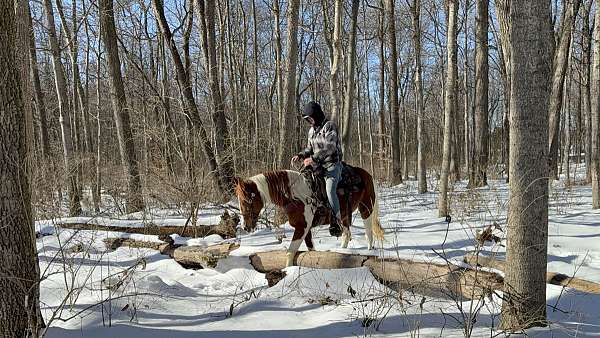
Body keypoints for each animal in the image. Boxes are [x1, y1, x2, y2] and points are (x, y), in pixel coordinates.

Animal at [234, 166, 384, 266]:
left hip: (366, 209)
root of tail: (367, 174)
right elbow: (311, 249)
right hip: (345, 215)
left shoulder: (302, 228)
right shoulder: (306, 229)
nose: (245, 227)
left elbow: (290, 253)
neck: (295, 195)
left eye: (245, 201)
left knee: (369, 234)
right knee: (346, 234)